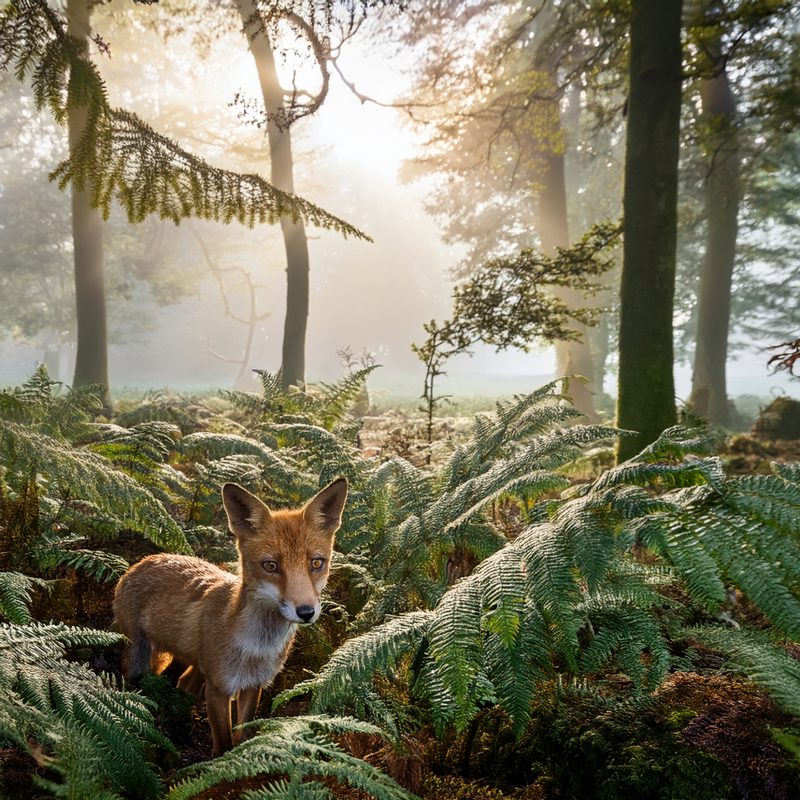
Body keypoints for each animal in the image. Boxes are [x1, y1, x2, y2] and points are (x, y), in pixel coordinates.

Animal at [113, 478, 347, 756]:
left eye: (316, 563)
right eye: (270, 566)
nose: (306, 612)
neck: (256, 647)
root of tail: (143, 561)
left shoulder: (253, 686)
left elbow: (242, 735)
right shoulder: (219, 688)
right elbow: (224, 743)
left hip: (198, 666)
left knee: (183, 683)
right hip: (139, 657)